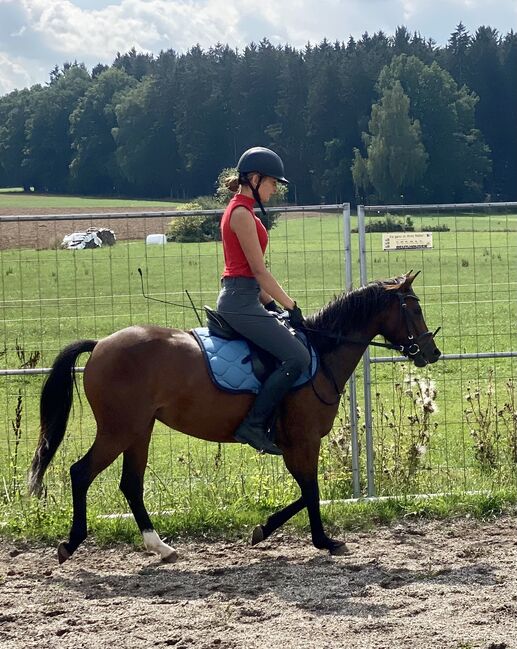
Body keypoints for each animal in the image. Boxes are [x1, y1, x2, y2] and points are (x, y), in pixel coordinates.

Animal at [28, 270, 440, 564]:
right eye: (415, 309)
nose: (432, 352)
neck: (320, 352)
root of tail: (100, 344)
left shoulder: (295, 443)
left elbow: (304, 493)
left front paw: (264, 529)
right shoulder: (302, 440)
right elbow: (311, 491)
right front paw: (323, 540)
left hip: (139, 430)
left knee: (130, 484)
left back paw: (160, 547)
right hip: (119, 430)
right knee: (81, 473)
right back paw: (71, 543)